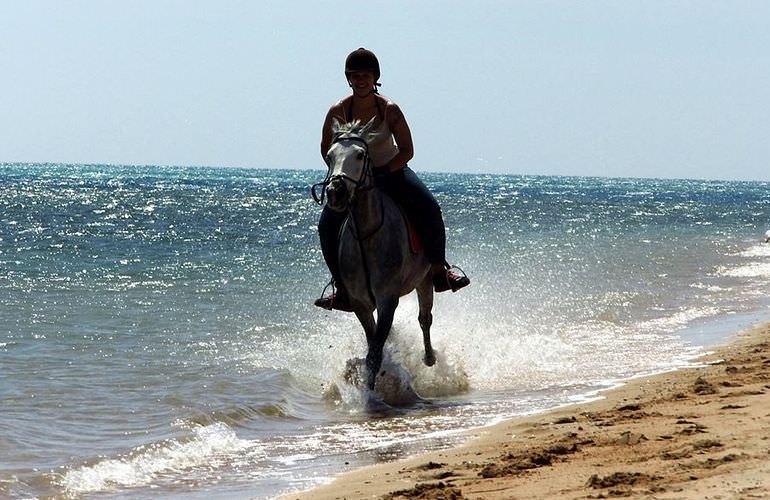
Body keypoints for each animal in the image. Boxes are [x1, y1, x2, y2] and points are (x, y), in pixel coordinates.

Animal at [314, 118, 432, 390]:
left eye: (360, 154)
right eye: (329, 155)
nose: (336, 192)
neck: (367, 235)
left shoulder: (388, 299)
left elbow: (376, 352)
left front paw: (370, 393)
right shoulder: (360, 303)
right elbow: (373, 345)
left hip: (426, 279)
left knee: (425, 318)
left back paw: (430, 358)